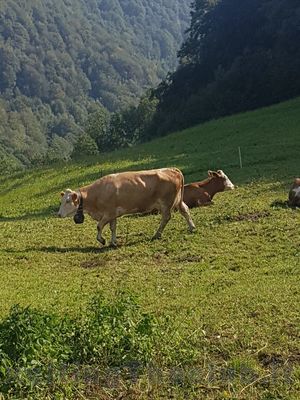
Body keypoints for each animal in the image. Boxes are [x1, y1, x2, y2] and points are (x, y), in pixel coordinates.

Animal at [57, 167, 196, 245]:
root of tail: (172, 169)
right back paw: (192, 227)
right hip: (178, 200)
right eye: (61, 201)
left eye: (68, 201)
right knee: (185, 210)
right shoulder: (112, 214)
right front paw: (113, 242)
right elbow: (113, 228)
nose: (58, 214)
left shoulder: (108, 213)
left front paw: (102, 240)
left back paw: (157, 234)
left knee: (166, 217)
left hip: (166, 203)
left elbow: (99, 226)